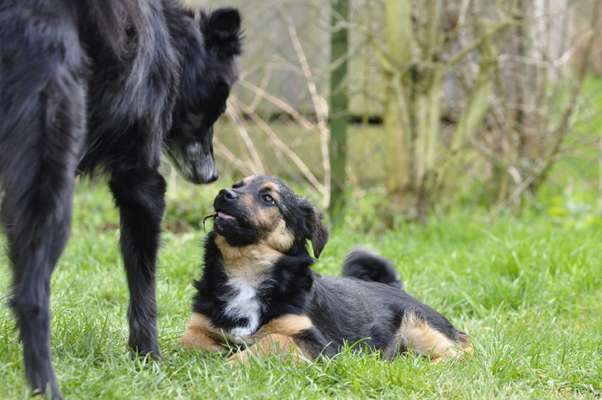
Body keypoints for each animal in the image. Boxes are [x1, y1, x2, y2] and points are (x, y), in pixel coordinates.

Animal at [2, 0, 241, 396]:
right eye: (217, 106)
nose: (212, 176)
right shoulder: (141, 178)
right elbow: (143, 279)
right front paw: (149, 356)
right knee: (30, 294)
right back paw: (45, 386)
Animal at [180, 175, 472, 362]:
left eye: (268, 198)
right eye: (237, 185)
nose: (223, 193)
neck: (247, 270)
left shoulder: (321, 344)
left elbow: (271, 341)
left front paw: (230, 363)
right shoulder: (199, 325)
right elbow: (186, 340)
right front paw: (218, 353)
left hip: (420, 326)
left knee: (464, 349)